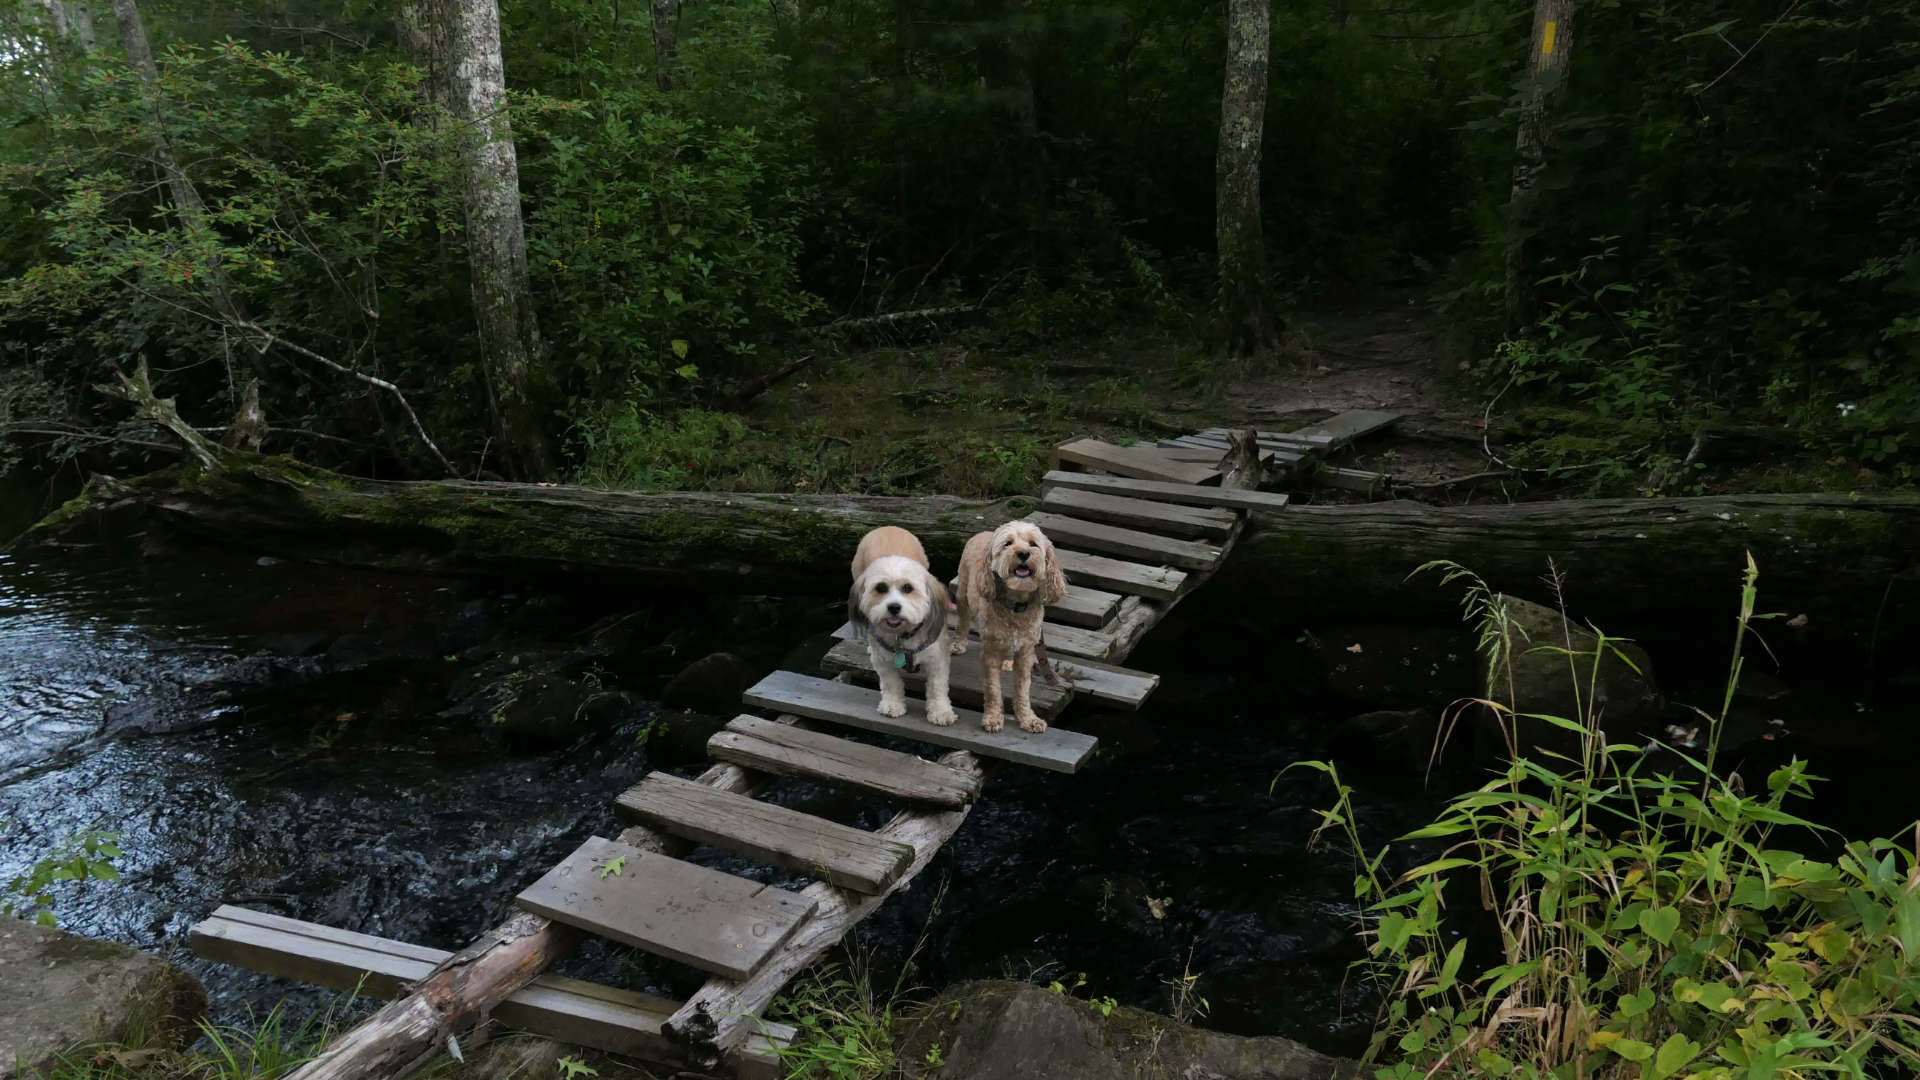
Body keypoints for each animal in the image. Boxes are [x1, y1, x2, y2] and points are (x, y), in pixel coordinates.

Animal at [848, 522, 960, 722]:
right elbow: (890, 683)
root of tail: (887, 526)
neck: (903, 637)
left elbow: (937, 687)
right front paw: (892, 705)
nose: (893, 607)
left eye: (908, 588)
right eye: (880, 588)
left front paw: (941, 711)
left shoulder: (937, 659)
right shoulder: (882, 661)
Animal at [956, 518, 1075, 730]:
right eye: (1008, 544)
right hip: (962, 590)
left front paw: (1028, 719)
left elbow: (1022, 689)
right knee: (962, 618)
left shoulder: (1026, 651)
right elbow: (993, 688)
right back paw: (959, 643)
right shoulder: (991, 651)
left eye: (1033, 544)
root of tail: (983, 533)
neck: (1016, 605)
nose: (1023, 553)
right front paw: (993, 718)